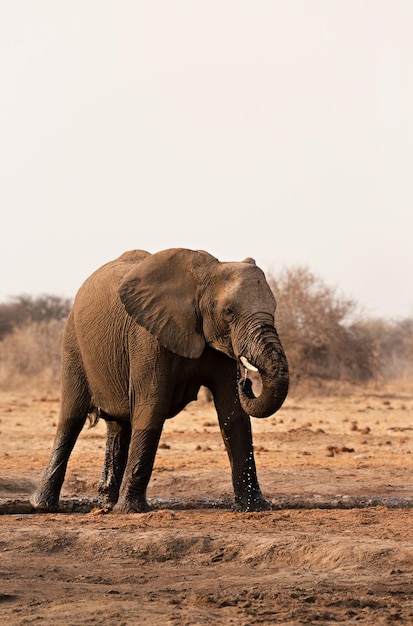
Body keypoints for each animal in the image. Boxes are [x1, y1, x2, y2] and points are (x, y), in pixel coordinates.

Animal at [30, 247, 288, 512]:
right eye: (229, 312)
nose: (246, 382)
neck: (203, 275)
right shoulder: (147, 336)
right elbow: (152, 406)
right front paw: (131, 511)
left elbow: (233, 412)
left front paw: (255, 508)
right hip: (73, 344)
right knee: (71, 418)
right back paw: (43, 505)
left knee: (118, 425)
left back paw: (106, 505)